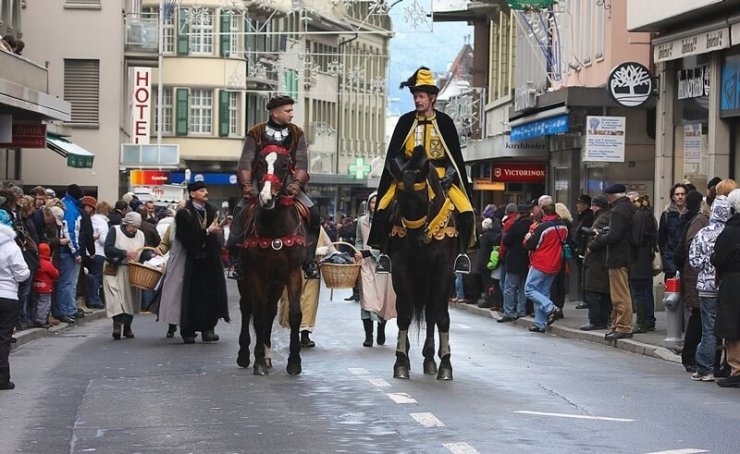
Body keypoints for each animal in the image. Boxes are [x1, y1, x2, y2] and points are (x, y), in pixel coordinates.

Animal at [237, 145, 306, 376]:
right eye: (260, 164)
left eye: (284, 165)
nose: (266, 198)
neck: (275, 226)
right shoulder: (256, 274)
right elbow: (257, 316)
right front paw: (258, 362)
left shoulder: (292, 274)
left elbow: (294, 315)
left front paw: (294, 361)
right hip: (244, 278)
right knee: (246, 308)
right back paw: (245, 355)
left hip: (276, 283)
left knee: (270, 311)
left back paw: (267, 355)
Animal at [388, 145, 456, 380]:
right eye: (398, 199)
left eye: (423, 199)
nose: (416, 240)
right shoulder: (401, 269)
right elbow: (404, 314)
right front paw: (400, 362)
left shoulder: (443, 270)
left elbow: (441, 317)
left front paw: (445, 365)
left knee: (431, 313)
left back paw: (430, 359)